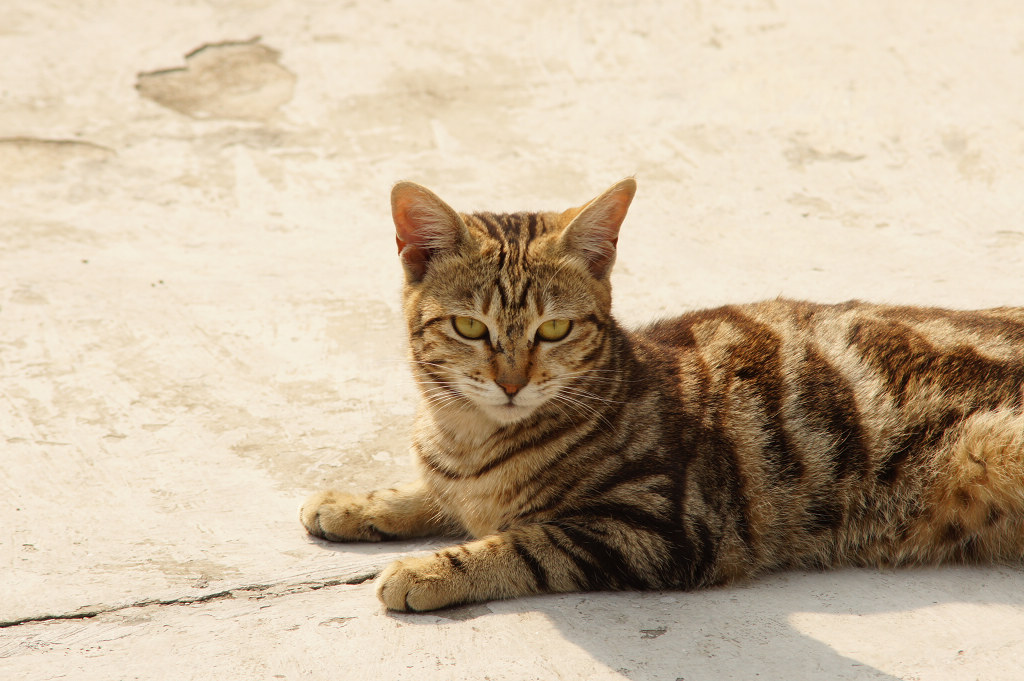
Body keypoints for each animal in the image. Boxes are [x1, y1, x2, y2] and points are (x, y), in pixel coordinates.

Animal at [299, 176, 1024, 610]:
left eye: (554, 328)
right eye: (470, 327)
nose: (511, 382)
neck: (470, 435)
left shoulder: (660, 527)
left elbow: (522, 543)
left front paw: (428, 570)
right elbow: (429, 491)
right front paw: (355, 502)